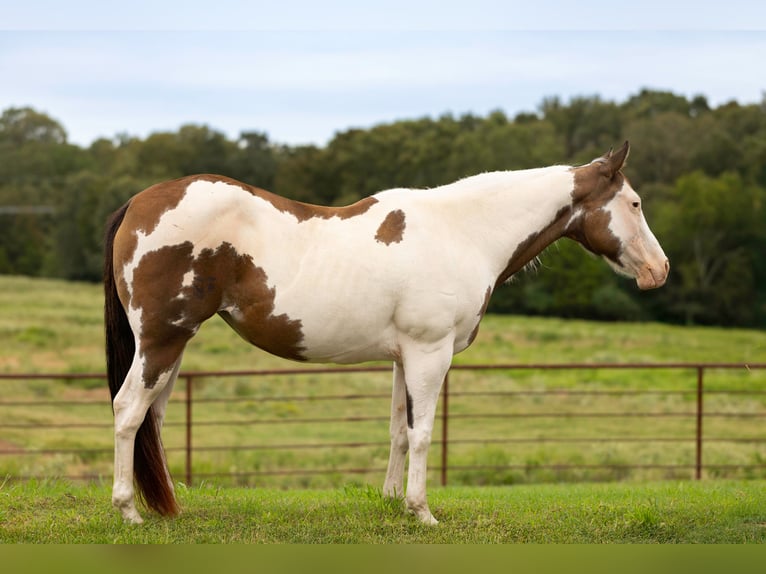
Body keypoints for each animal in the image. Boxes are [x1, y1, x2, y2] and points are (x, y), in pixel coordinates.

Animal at [103, 141, 668, 525]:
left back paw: (168, 507)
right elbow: (422, 433)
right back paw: (128, 510)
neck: (463, 232)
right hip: (161, 342)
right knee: (129, 410)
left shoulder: (405, 356)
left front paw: (394, 502)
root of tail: (138, 202)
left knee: (153, 418)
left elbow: (398, 430)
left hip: (173, 347)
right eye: (636, 203)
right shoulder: (430, 354)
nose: (659, 270)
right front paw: (422, 511)